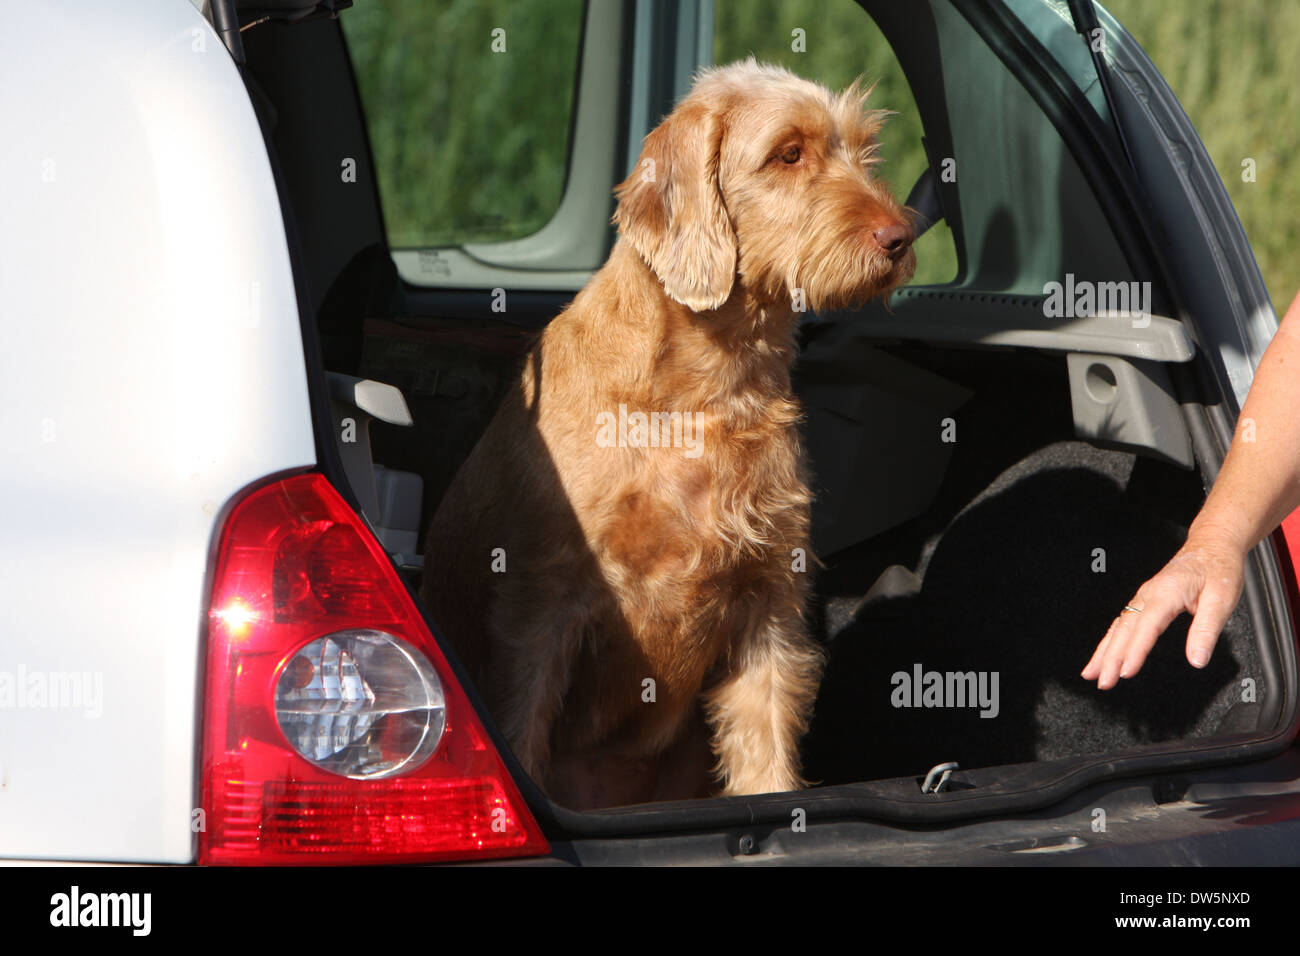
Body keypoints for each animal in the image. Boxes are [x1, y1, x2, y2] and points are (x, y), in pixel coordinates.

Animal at [423, 57, 915, 806]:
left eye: (863, 151)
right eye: (788, 153)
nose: (901, 238)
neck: (705, 393)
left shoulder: (768, 598)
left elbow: (765, 744)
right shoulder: (543, 603)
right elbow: (522, 721)